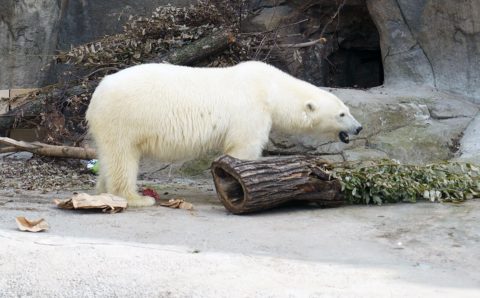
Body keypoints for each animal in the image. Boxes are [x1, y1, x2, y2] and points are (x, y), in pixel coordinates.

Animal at [86, 61, 362, 207]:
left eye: (348, 110)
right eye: (342, 114)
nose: (358, 127)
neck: (270, 89)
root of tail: (98, 92)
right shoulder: (251, 109)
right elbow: (244, 147)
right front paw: (241, 184)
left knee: (109, 156)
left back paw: (103, 191)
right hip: (125, 118)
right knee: (123, 157)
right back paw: (137, 198)